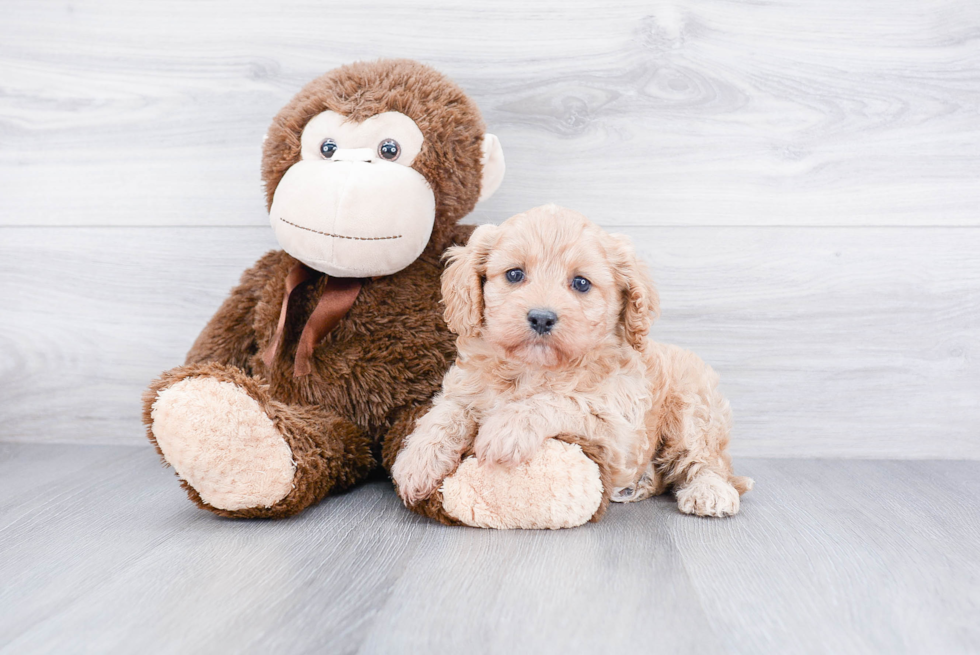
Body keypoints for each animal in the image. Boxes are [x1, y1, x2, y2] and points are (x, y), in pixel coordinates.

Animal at [390, 205, 752, 516]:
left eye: (581, 283)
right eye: (514, 274)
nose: (541, 317)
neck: (532, 369)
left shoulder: (621, 432)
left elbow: (562, 401)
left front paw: (506, 428)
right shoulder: (464, 389)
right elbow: (444, 415)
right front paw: (416, 462)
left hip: (694, 409)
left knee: (706, 461)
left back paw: (709, 491)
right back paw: (641, 484)